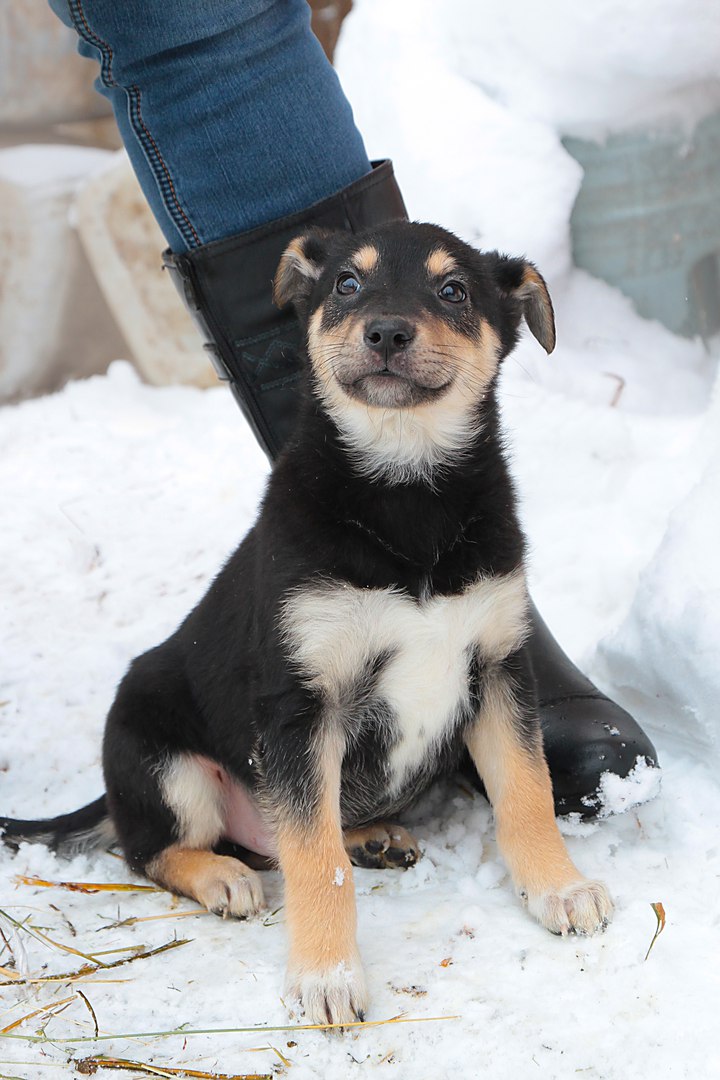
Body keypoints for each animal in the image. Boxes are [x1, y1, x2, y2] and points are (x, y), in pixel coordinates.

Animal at [1, 219, 613, 1019]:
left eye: (454, 291)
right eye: (347, 284)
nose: (386, 332)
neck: (405, 488)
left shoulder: (501, 669)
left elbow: (528, 793)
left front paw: (560, 888)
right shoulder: (301, 703)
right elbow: (314, 859)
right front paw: (327, 976)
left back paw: (373, 837)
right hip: (163, 761)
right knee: (157, 849)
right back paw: (224, 877)